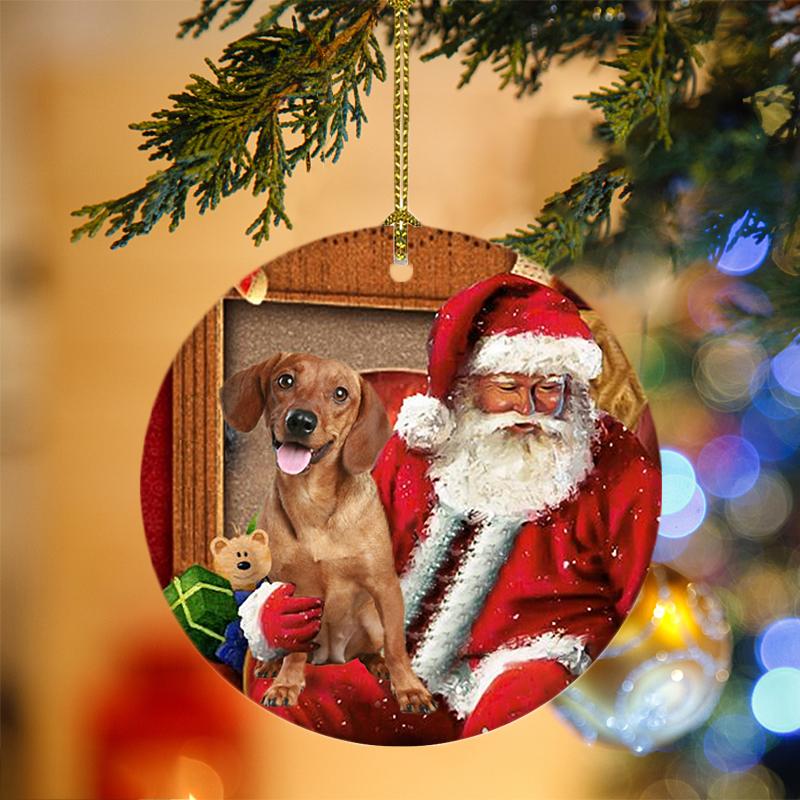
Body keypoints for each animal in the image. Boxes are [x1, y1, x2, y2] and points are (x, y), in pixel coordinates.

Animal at [219, 354, 434, 708]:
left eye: (341, 393)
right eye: (285, 380)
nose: (300, 421)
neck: (313, 502)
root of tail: (333, 658)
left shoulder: (384, 586)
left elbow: (396, 647)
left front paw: (409, 689)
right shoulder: (295, 593)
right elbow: (294, 650)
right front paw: (286, 684)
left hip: (371, 619)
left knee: (375, 649)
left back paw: (378, 665)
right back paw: (273, 666)